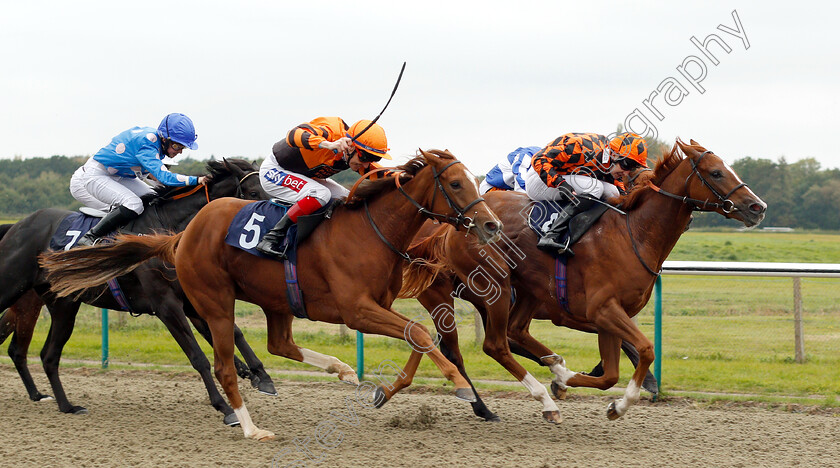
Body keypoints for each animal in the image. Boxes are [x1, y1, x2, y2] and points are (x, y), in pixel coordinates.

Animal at [0, 159, 276, 426]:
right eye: (253, 192)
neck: (169, 234)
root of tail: (18, 226)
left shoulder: (192, 302)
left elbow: (234, 334)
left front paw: (260, 376)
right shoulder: (166, 306)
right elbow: (197, 356)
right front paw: (226, 408)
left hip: (63, 306)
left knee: (49, 355)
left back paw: (67, 406)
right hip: (14, 286)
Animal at [42, 149, 502, 438]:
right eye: (456, 183)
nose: (492, 224)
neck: (371, 229)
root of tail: (180, 235)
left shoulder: (378, 306)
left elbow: (418, 334)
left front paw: (384, 391)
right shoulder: (356, 310)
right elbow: (422, 333)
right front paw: (460, 385)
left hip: (276, 300)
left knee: (279, 343)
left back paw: (340, 369)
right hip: (213, 303)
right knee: (223, 365)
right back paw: (249, 427)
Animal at [402, 139, 768, 420]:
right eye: (716, 172)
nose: (757, 206)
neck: (634, 234)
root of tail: (456, 224)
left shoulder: (610, 317)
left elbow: (611, 373)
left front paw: (572, 382)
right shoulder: (603, 309)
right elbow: (645, 349)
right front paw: (617, 403)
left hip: (526, 291)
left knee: (514, 332)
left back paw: (553, 369)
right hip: (488, 287)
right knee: (492, 344)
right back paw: (523, 402)